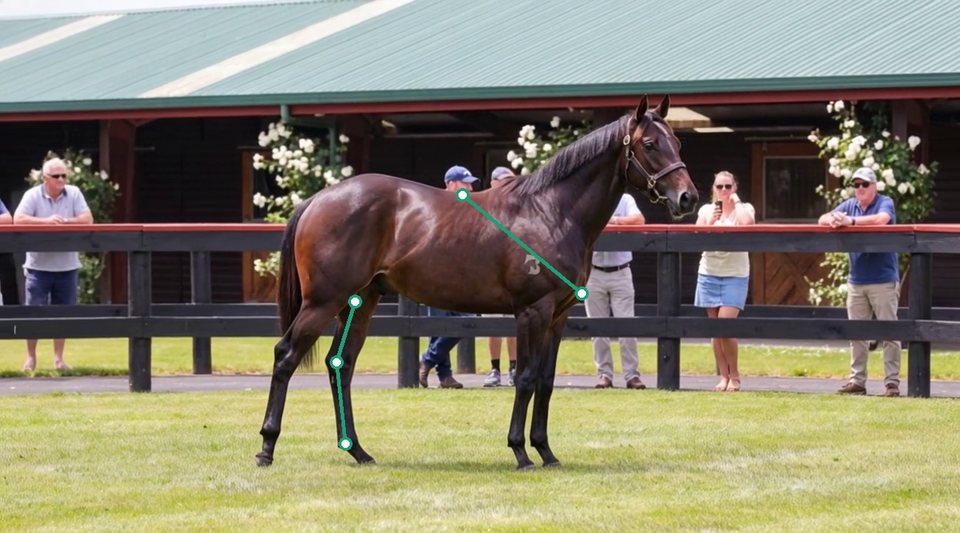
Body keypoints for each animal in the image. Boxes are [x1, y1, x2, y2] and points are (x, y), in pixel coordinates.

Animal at [256, 95, 699, 470]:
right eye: (650, 144)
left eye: (678, 142)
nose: (688, 199)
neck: (551, 211)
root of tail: (318, 199)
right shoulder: (532, 312)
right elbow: (525, 378)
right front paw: (521, 452)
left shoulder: (558, 316)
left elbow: (546, 381)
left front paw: (546, 452)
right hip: (323, 302)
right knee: (285, 356)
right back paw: (266, 448)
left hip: (361, 303)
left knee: (341, 364)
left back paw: (358, 451)